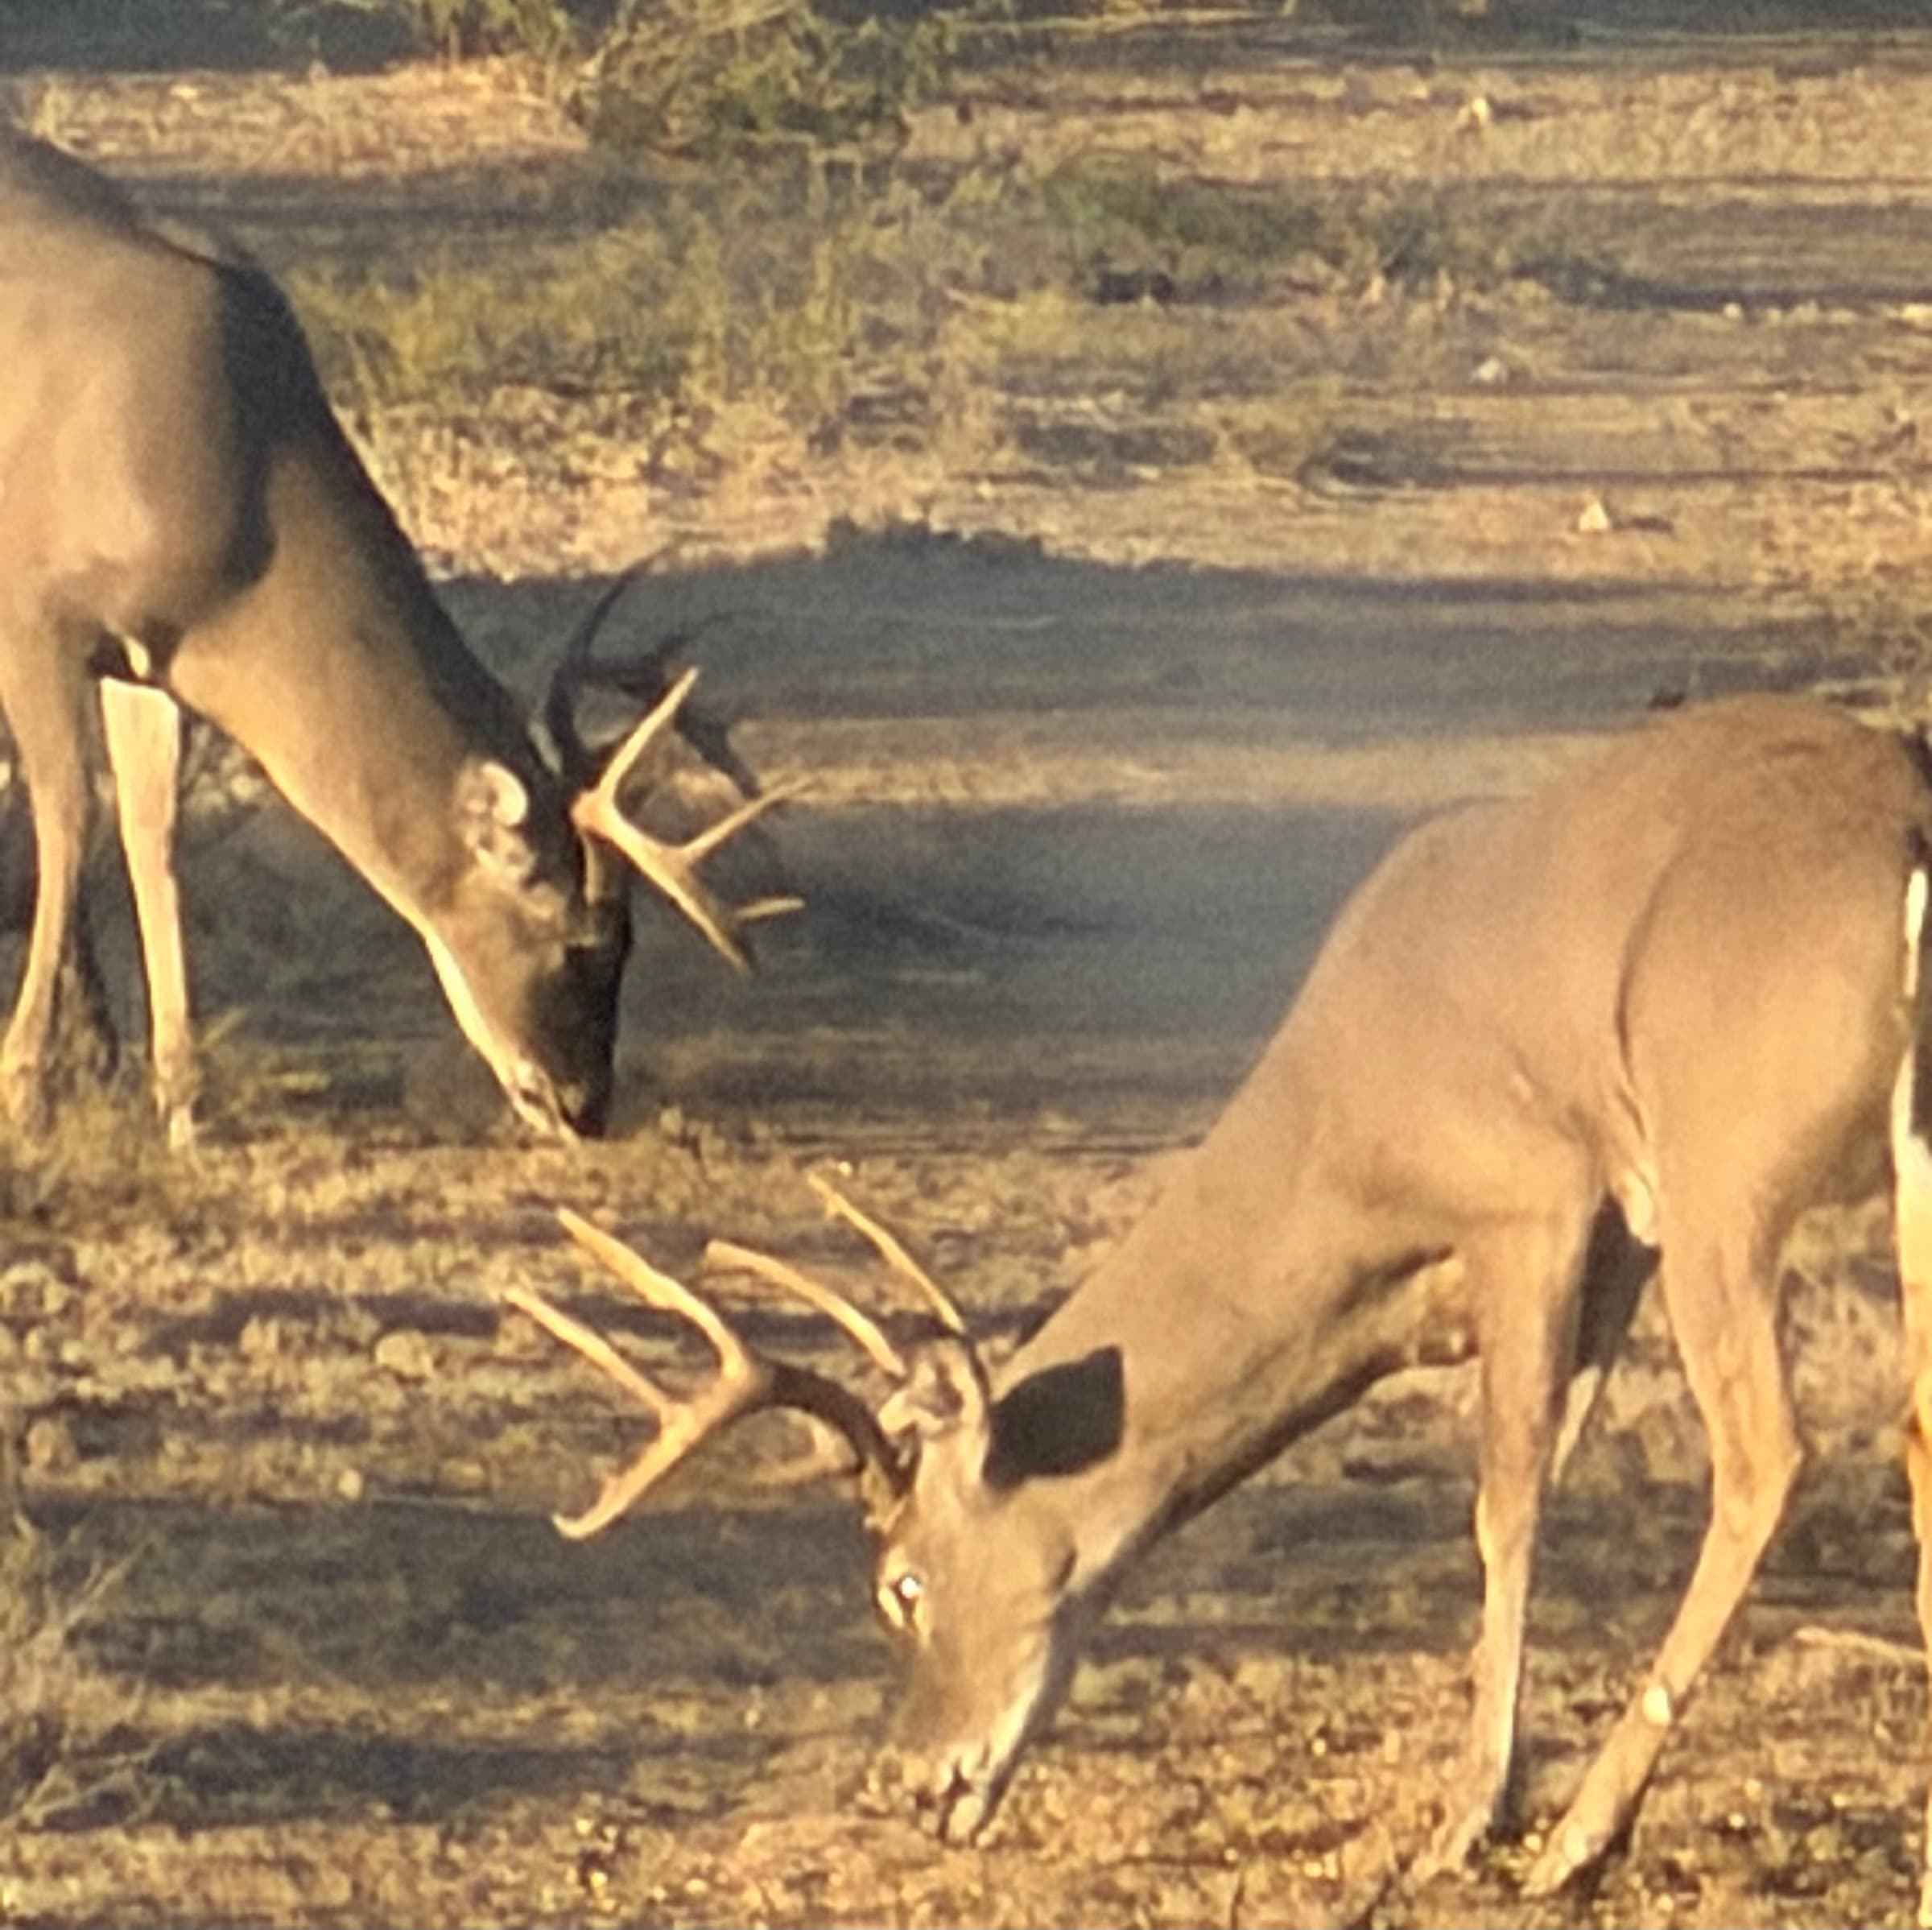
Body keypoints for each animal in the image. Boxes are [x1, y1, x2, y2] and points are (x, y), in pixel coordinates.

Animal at [0, 128, 794, 1147]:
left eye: (632, 945)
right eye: (578, 942)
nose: (582, 1106)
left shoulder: (150, 659)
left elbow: (151, 836)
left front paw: (181, 1102)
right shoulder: (35, 612)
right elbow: (69, 816)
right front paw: (28, 1087)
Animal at [509, 692, 1932, 1923]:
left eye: (900, 1583)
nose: (905, 1784)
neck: (1345, 1140)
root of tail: (1909, 844)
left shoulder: (1535, 1196)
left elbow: (1505, 1503)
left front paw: (1472, 1817)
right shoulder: (1613, 1233)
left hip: (1724, 1165)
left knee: (1768, 1457)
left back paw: (1584, 1837)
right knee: (1909, 1428)